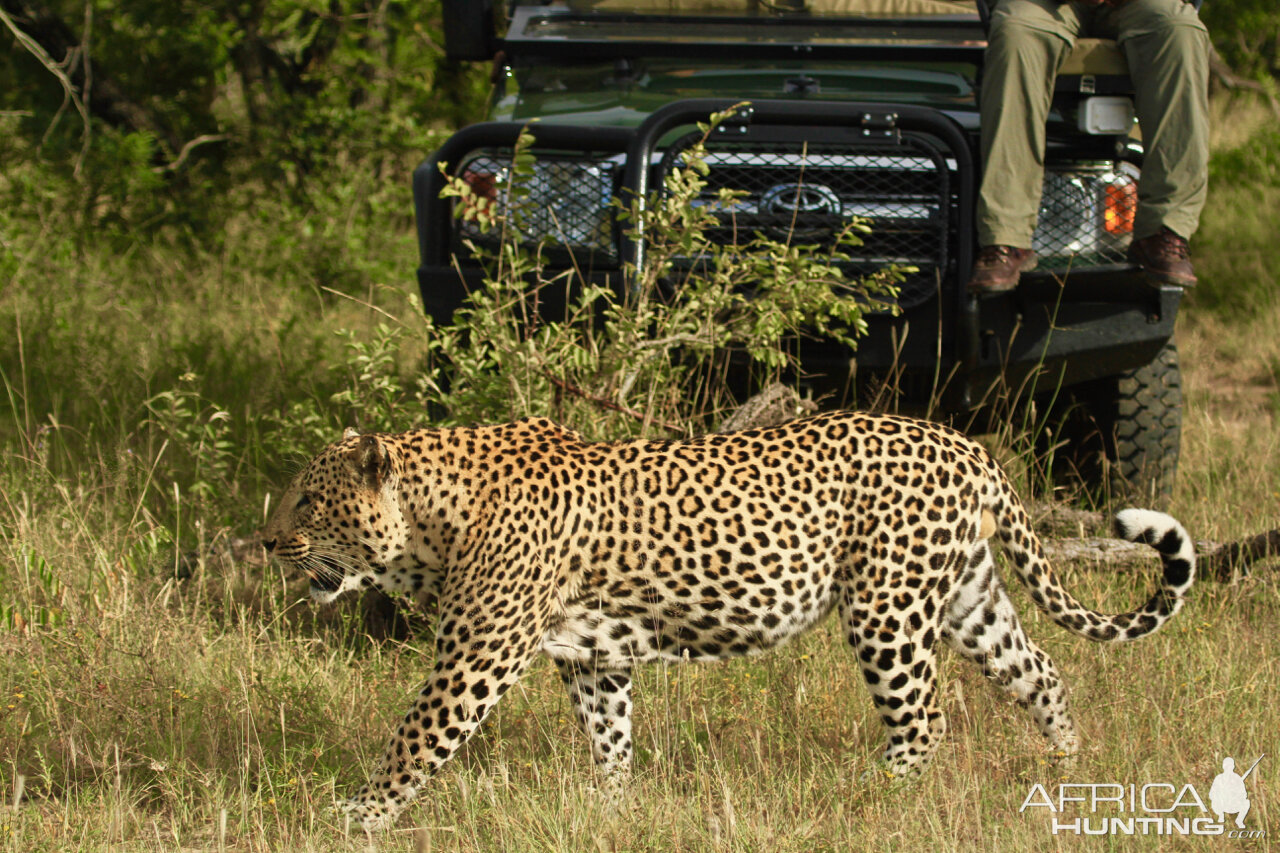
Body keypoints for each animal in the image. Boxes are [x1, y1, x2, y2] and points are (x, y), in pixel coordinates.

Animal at [262, 409, 1198, 824]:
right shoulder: (591, 655)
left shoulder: (477, 653)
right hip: (967, 596)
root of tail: (969, 445)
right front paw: (610, 809)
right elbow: (609, 736)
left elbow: (414, 742)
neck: (431, 519)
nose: (265, 540)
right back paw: (1065, 774)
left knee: (923, 719)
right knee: (1040, 671)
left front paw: (349, 822)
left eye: (309, 497)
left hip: (887, 608)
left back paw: (866, 796)